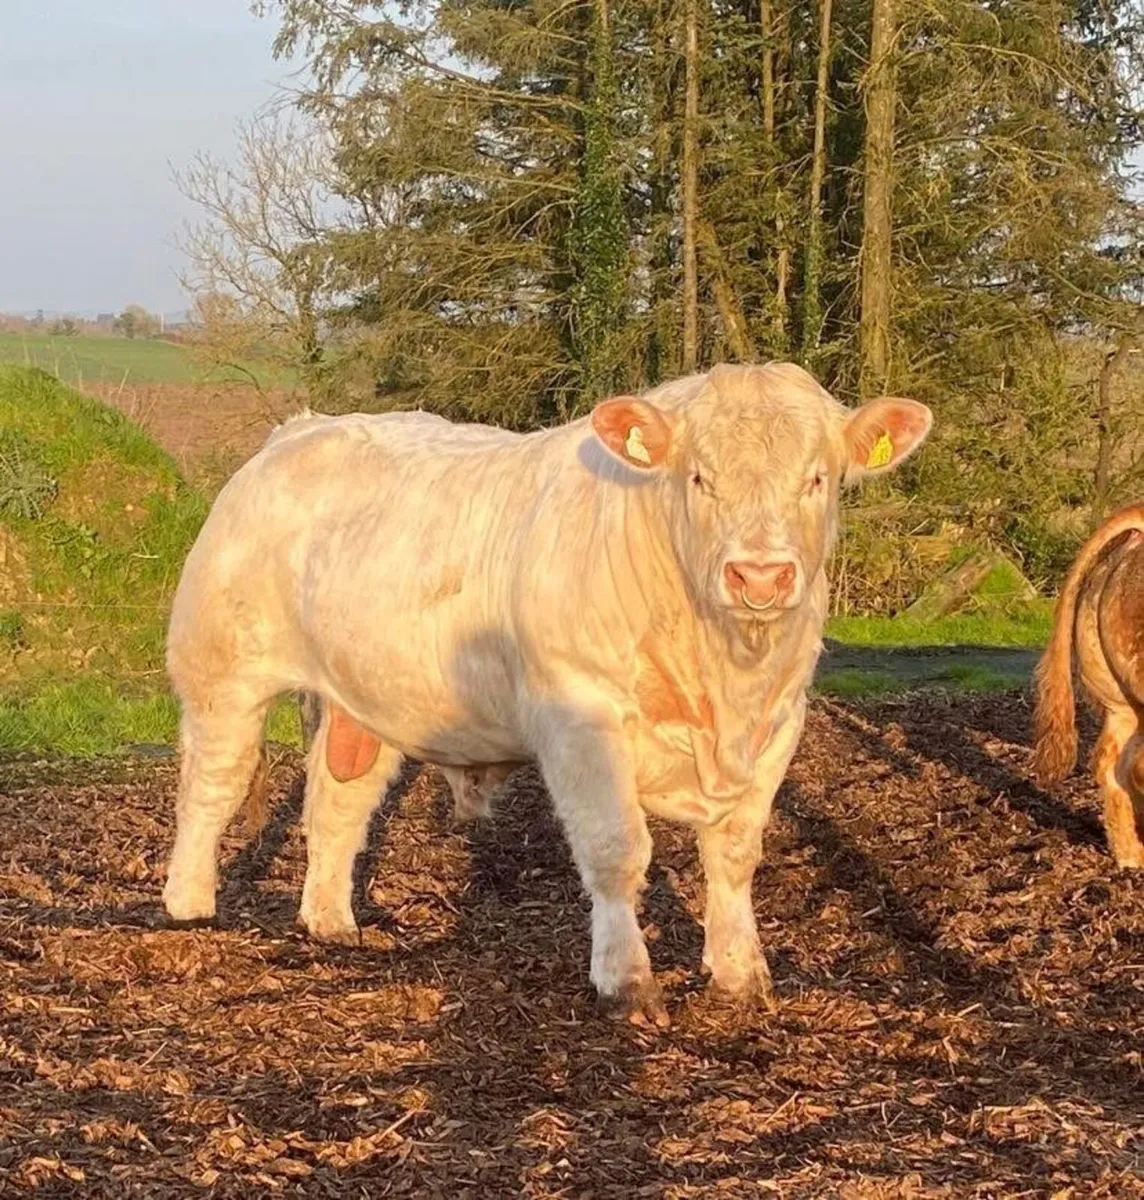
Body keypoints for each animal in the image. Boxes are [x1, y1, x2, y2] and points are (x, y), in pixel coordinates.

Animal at [162, 363, 932, 1024]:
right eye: (698, 477)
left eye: (818, 478)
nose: (762, 575)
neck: (723, 681)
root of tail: (297, 430)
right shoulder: (580, 718)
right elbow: (617, 850)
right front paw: (626, 981)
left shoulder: (780, 721)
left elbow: (736, 853)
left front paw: (741, 971)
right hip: (223, 673)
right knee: (213, 786)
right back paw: (189, 907)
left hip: (367, 701)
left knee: (336, 804)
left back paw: (331, 923)